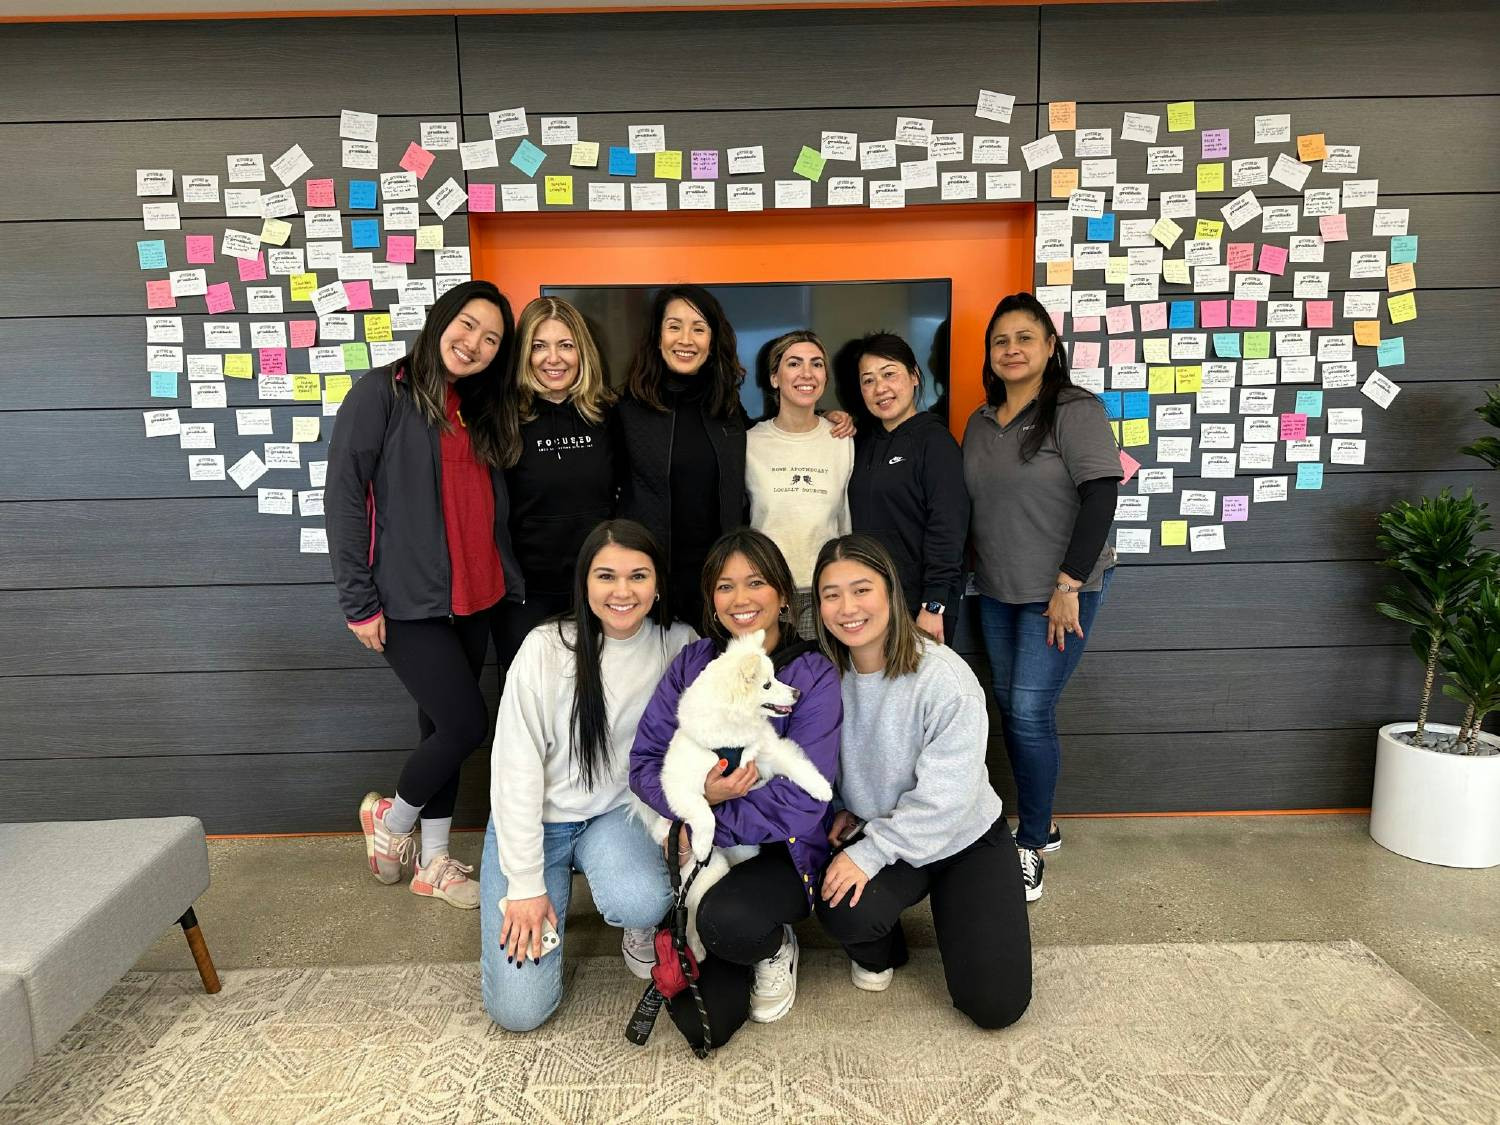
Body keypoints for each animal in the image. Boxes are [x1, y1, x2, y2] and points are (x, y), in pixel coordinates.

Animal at [636, 636, 834, 960]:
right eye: (767, 684)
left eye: (776, 676)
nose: (797, 692)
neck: (732, 734)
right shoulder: (679, 785)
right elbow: (703, 812)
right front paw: (703, 843)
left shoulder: (768, 752)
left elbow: (799, 766)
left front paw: (821, 788)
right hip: (704, 869)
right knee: (690, 910)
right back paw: (696, 949)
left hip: (739, 855)